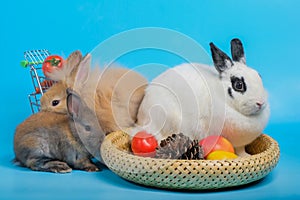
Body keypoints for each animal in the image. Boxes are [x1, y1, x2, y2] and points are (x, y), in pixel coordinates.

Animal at [135, 38, 270, 155]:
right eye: (238, 85)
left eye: (259, 75)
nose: (260, 103)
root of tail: (141, 118)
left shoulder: (240, 145)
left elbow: (241, 150)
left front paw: (245, 156)